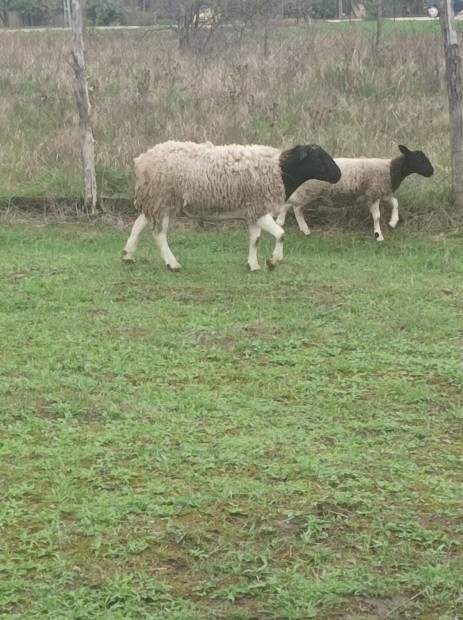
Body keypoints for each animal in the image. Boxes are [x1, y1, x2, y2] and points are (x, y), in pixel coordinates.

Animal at [122, 141, 340, 272]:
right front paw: (273, 261)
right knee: (159, 234)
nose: (338, 175)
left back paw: (128, 255)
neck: (280, 169)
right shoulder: (259, 208)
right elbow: (280, 234)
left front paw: (253, 265)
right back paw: (172, 263)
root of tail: (141, 161)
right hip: (163, 199)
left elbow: (255, 240)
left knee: (138, 225)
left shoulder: (253, 211)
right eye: (318, 158)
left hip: (155, 200)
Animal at [276, 146, 436, 242]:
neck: (390, 170)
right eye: (419, 159)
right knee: (288, 204)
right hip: (306, 192)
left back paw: (305, 230)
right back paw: (280, 221)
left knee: (297, 209)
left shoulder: (383, 192)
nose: (431, 172)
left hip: (312, 196)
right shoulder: (373, 194)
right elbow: (377, 216)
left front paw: (393, 222)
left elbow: (395, 203)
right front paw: (378, 235)